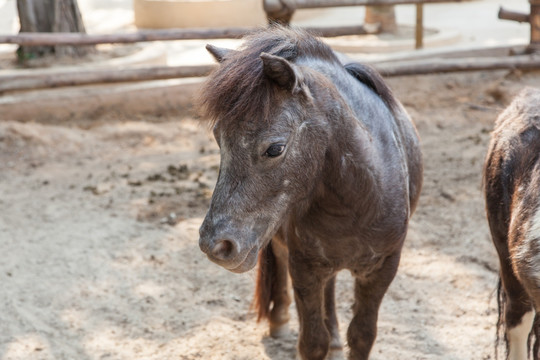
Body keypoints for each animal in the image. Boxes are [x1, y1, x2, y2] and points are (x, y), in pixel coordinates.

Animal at [196, 26, 424, 360]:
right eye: (217, 138)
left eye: (275, 148)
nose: (215, 245)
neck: (358, 201)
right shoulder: (304, 267)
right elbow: (312, 341)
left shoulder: (382, 270)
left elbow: (362, 336)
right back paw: (281, 321)